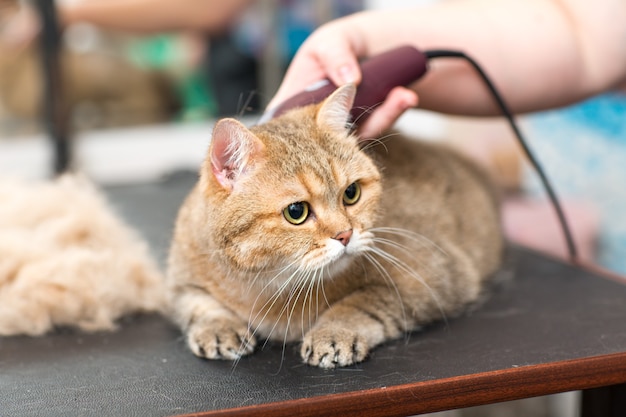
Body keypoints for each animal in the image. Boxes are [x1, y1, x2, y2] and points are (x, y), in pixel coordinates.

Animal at [166, 83, 502, 368]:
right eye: (296, 212)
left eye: (351, 193)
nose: (345, 234)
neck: (267, 285)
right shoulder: (181, 281)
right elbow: (197, 304)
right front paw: (217, 326)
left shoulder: (431, 277)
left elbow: (363, 301)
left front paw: (334, 331)